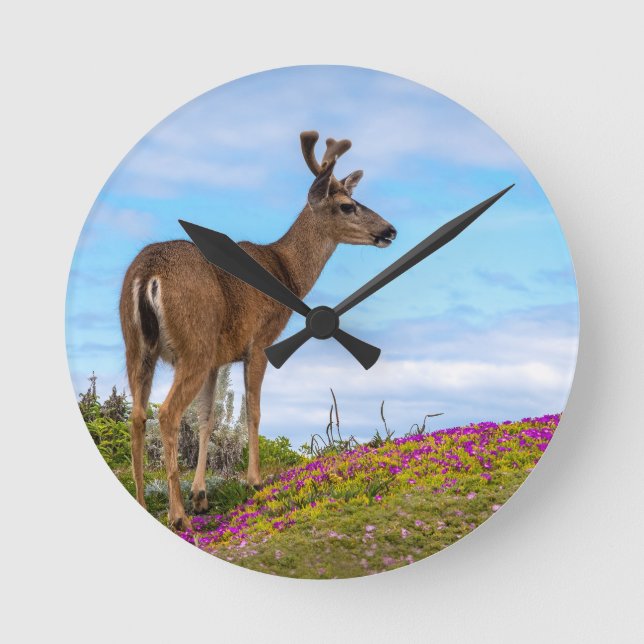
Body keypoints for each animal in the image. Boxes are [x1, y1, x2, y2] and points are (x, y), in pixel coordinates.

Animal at [119, 131, 397, 531]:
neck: (287, 272)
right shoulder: (260, 341)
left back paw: (145, 503)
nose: (390, 230)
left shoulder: (219, 357)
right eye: (347, 205)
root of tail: (148, 274)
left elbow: (207, 419)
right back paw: (177, 515)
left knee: (138, 415)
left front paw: (201, 495)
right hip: (194, 342)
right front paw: (253, 480)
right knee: (167, 413)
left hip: (138, 345)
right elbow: (254, 410)